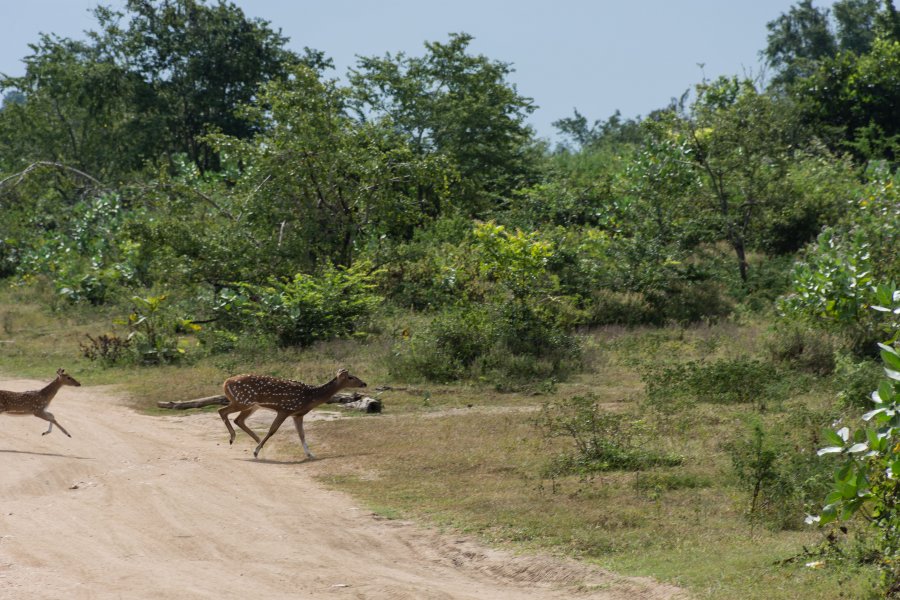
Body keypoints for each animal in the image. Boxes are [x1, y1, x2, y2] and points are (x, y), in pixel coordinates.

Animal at [220, 366, 368, 460]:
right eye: (351, 377)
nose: (364, 383)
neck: (310, 397)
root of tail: (225, 382)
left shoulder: (297, 414)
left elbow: (301, 434)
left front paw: (310, 454)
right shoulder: (285, 409)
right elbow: (272, 430)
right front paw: (255, 452)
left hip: (251, 405)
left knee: (238, 419)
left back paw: (256, 440)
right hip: (243, 401)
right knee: (222, 411)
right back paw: (234, 438)